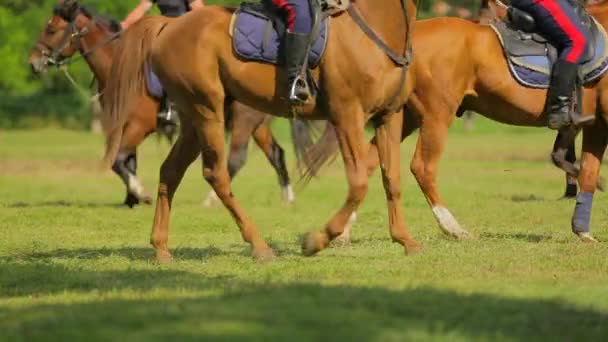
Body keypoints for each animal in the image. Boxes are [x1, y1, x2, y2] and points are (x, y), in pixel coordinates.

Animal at [28, 1, 308, 207]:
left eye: (51, 30)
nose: (33, 63)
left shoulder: (139, 126)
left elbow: (119, 160)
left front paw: (141, 193)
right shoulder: (127, 126)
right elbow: (128, 162)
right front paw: (131, 199)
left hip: (243, 121)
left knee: (236, 159)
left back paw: (212, 200)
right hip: (257, 124)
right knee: (276, 154)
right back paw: (288, 198)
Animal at [102, 0, 420, 262]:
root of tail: (169, 26)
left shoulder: (389, 118)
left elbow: (392, 180)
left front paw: (405, 239)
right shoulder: (347, 115)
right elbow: (359, 184)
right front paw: (316, 241)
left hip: (194, 120)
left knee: (170, 172)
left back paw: (161, 248)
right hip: (207, 112)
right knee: (216, 174)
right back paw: (259, 246)